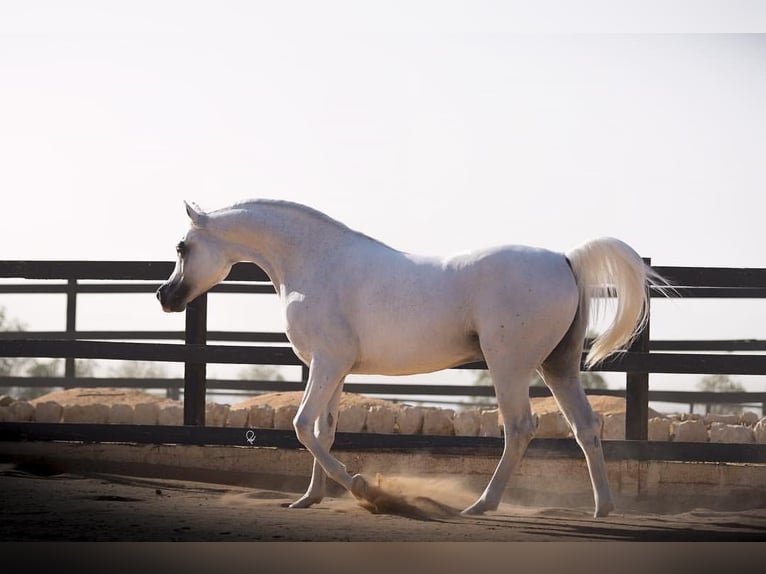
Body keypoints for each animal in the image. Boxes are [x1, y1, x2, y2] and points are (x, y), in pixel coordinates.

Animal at [156, 200, 664, 520]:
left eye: (181, 248)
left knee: (520, 429)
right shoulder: (335, 369)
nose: (165, 296)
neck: (315, 263)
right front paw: (309, 499)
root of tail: (564, 259)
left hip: (509, 366)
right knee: (585, 427)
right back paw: (602, 507)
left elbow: (301, 426)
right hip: (557, 365)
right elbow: (323, 430)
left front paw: (362, 487)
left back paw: (482, 505)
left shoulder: (326, 363)